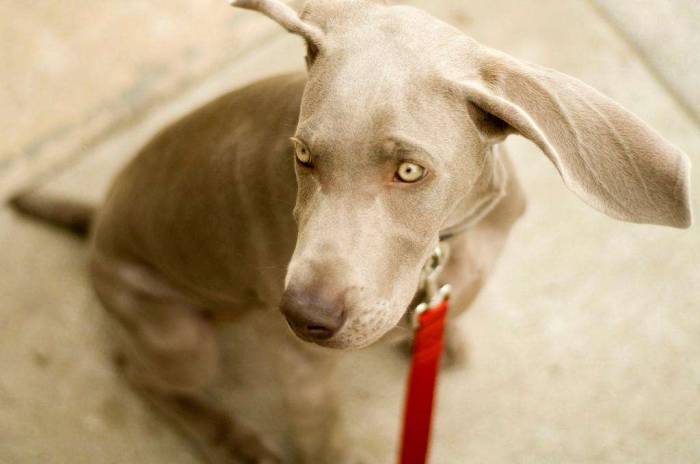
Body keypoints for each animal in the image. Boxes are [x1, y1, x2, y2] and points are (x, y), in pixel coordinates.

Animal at [10, 0, 688, 462]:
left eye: (409, 170)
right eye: (303, 157)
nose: (302, 316)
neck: (448, 238)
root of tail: (97, 222)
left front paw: (441, 344)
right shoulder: (304, 369)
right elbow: (321, 434)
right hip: (179, 338)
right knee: (136, 370)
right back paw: (231, 438)